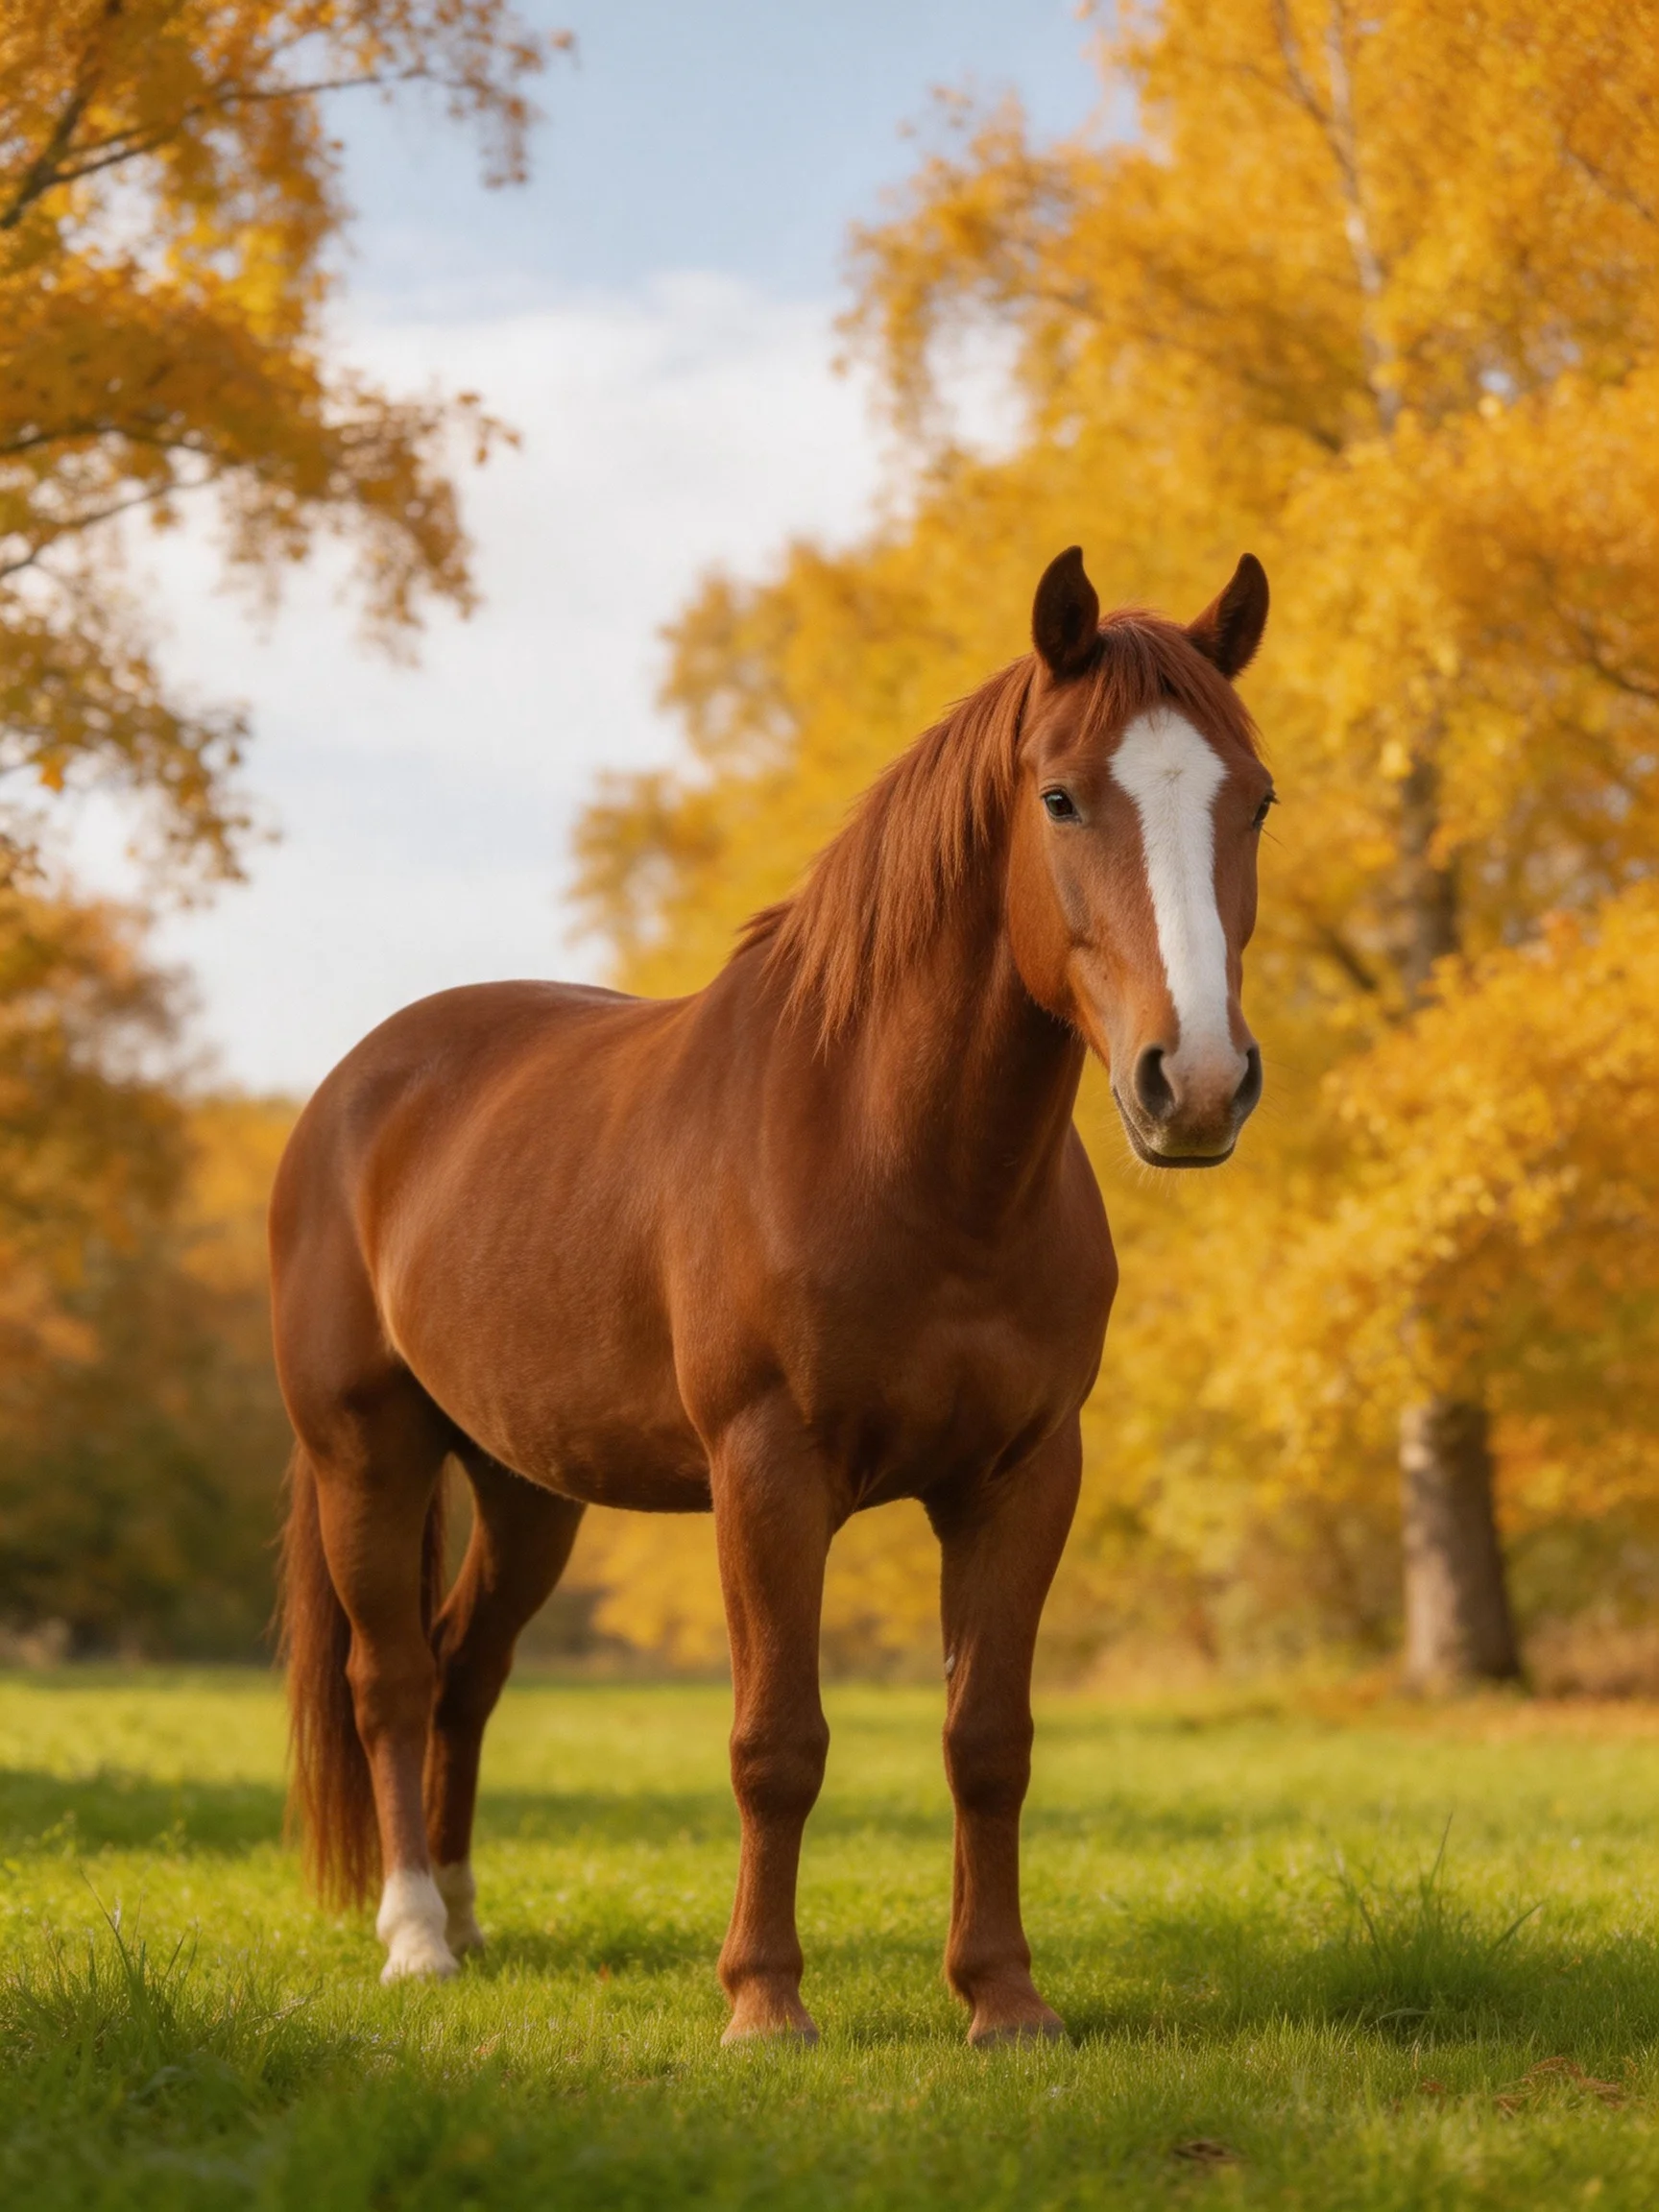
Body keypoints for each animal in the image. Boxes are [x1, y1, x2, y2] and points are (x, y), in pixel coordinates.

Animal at [272, 544, 1272, 2046]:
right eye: (1059, 797)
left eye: (1254, 798)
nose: (1195, 1082)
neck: (905, 1160)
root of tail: (356, 1088)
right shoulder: (767, 1472)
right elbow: (776, 1742)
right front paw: (764, 2002)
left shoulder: (1024, 1477)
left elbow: (989, 1740)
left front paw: (1003, 2000)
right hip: (368, 1457)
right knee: (391, 1677)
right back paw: (415, 1939)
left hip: (527, 1489)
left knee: (467, 1668)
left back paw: (464, 1911)